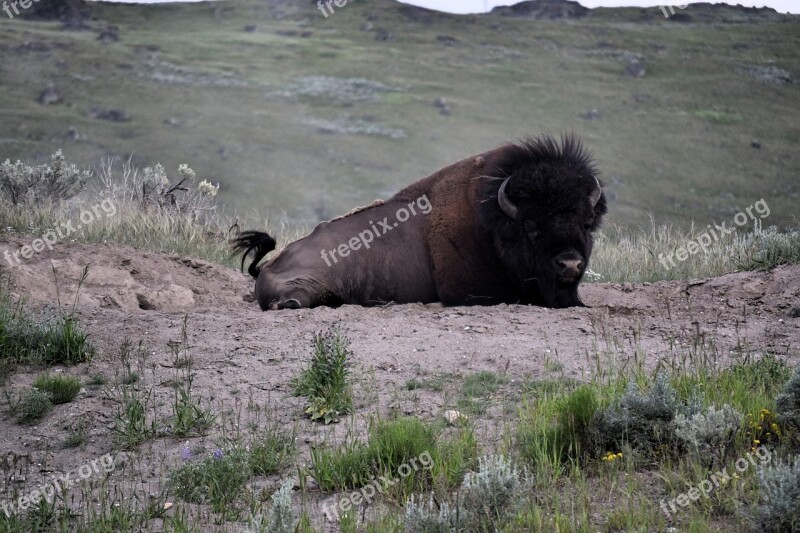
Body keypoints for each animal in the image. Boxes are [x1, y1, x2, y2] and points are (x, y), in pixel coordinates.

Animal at [234, 133, 608, 310]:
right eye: (532, 228)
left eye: (586, 223)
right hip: (312, 282)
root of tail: (269, 263)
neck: (492, 224)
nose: (570, 264)